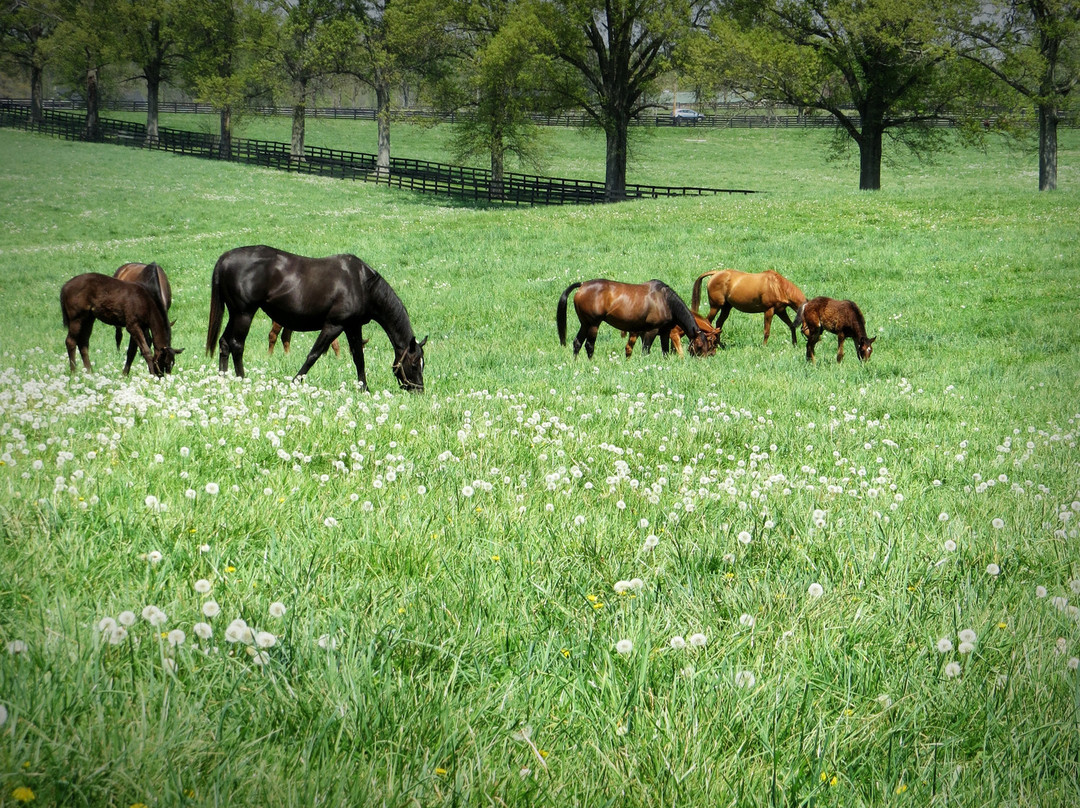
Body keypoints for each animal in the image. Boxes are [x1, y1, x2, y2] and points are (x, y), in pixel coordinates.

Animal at [203, 244, 425, 388]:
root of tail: (224, 259)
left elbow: (358, 358)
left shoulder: (352, 326)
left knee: (224, 343)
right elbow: (314, 354)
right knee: (237, 345)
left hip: (234, 314)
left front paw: (365, 389)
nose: (419, 390)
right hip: (244, 314)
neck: (362, 283)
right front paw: (295, 382)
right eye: (415, 364)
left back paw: (223, 380)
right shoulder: (334, 325)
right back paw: (242, 380)